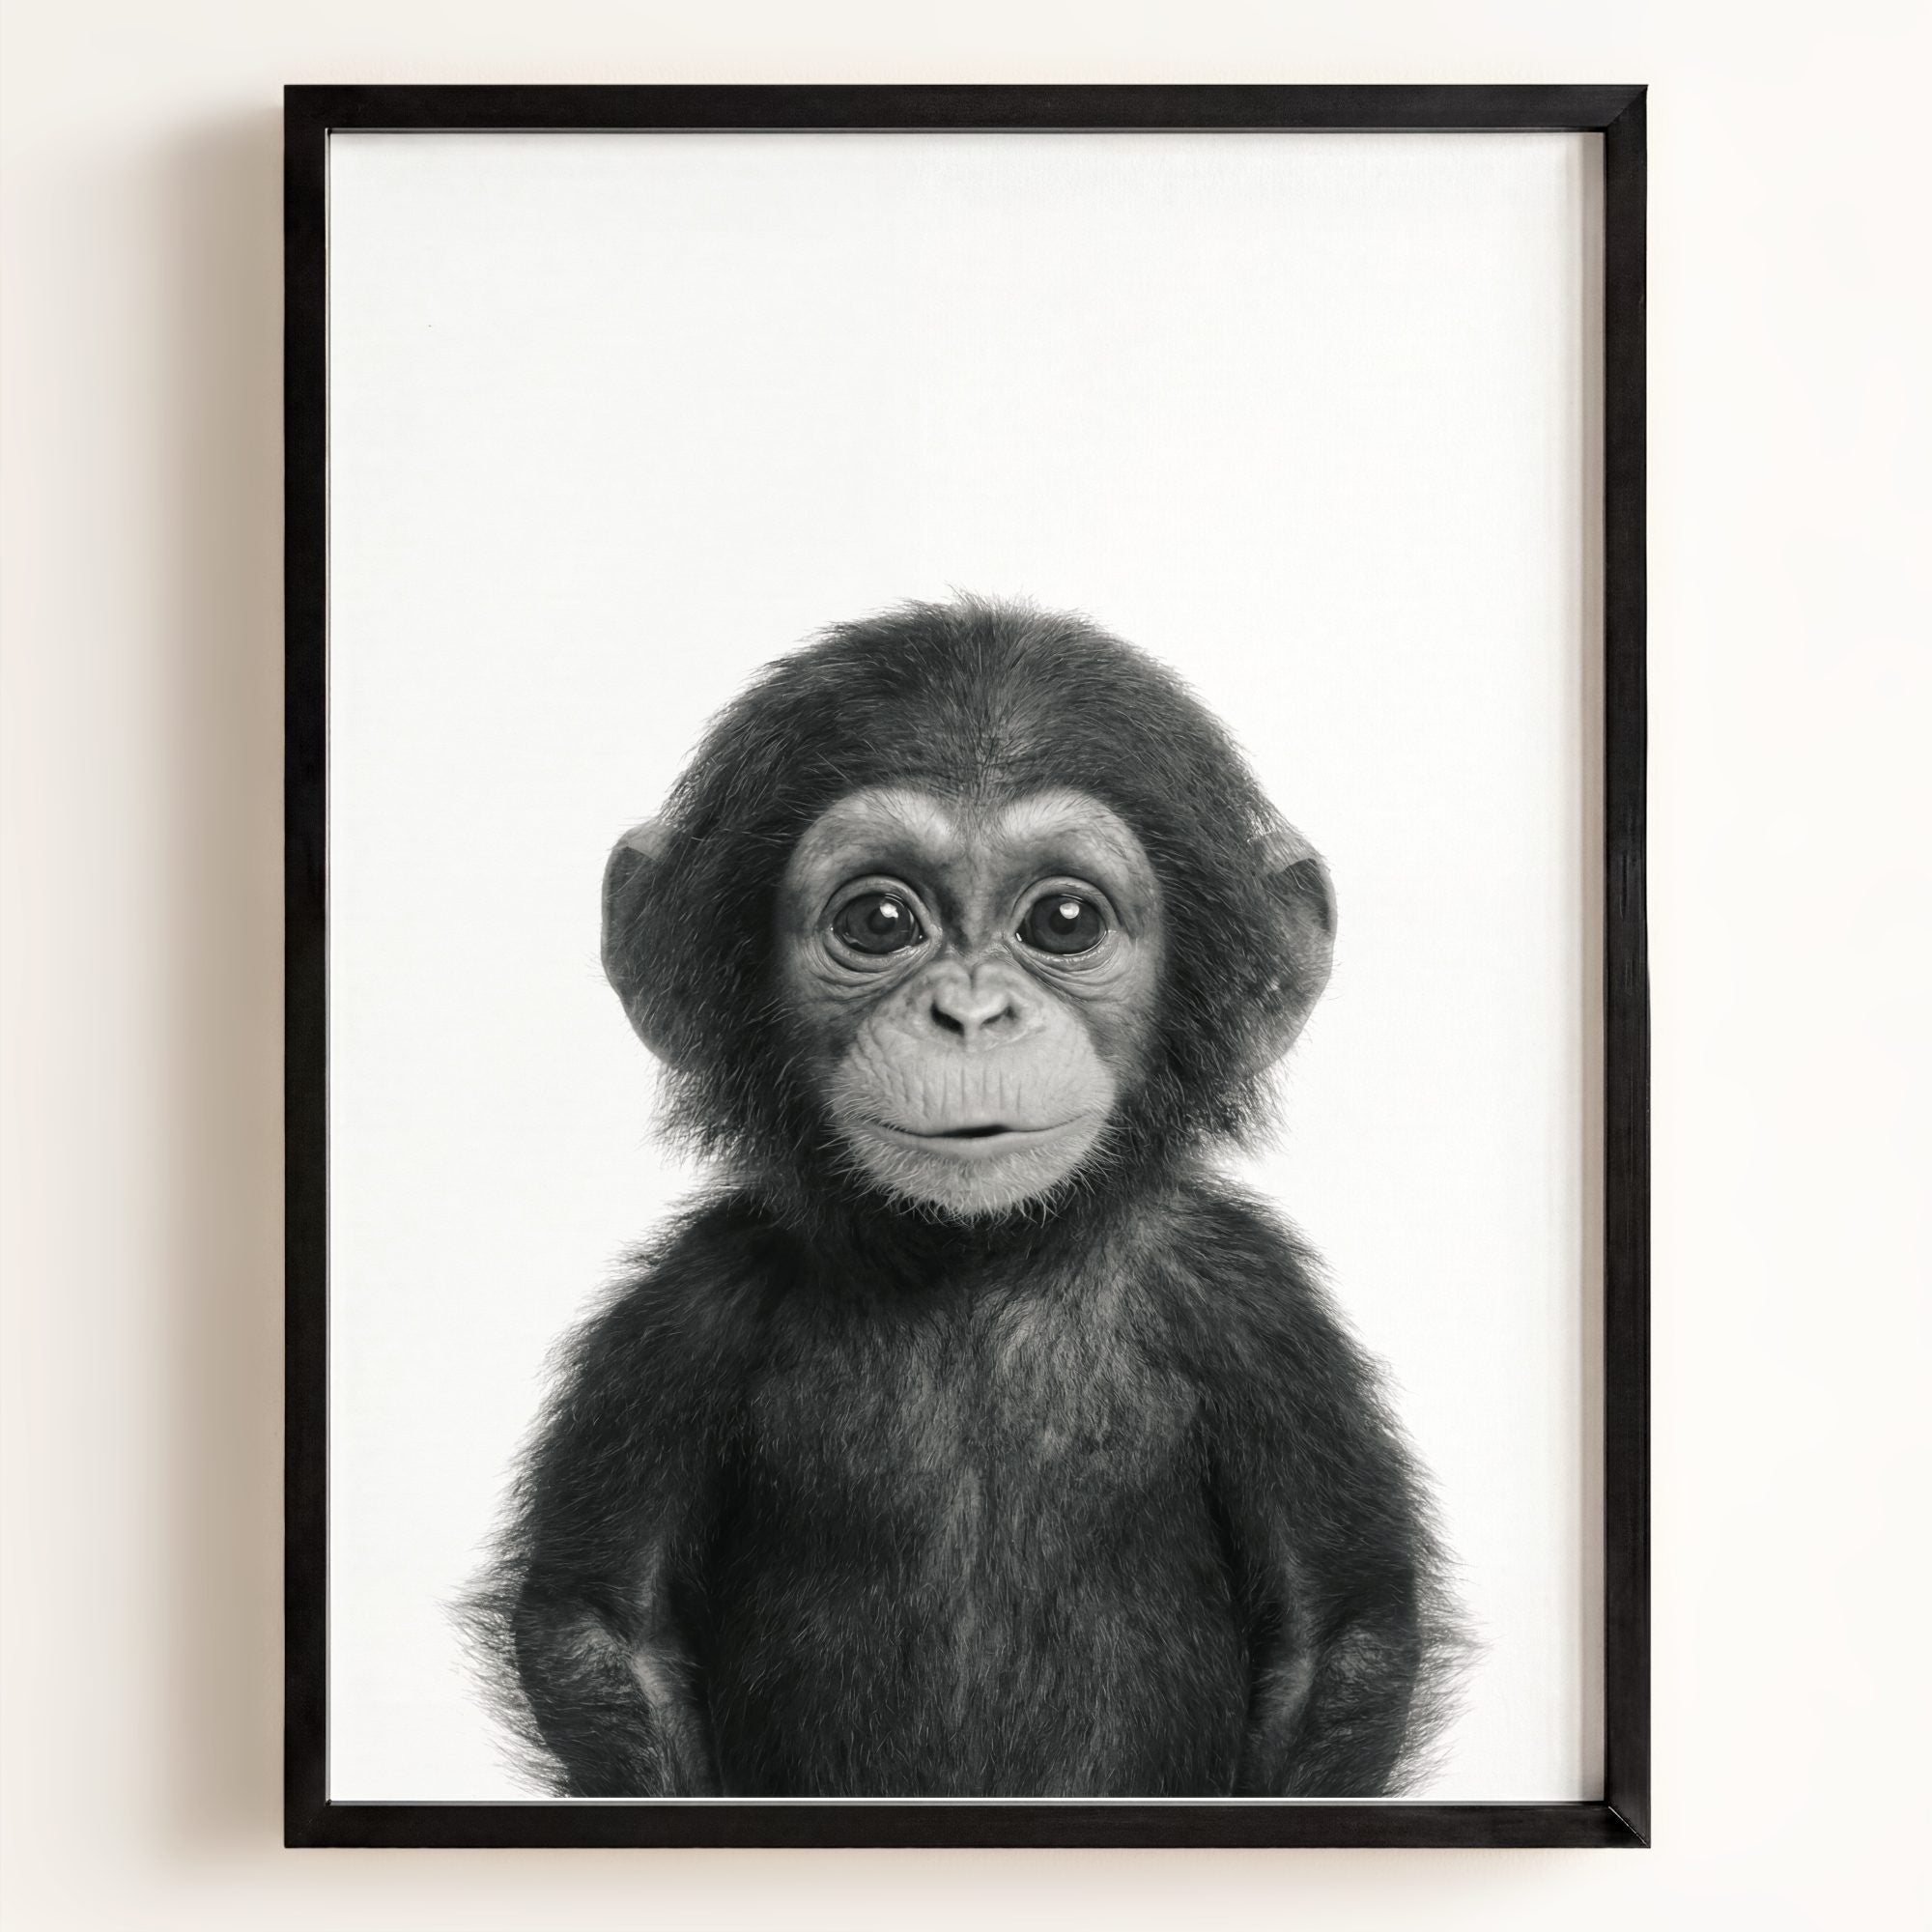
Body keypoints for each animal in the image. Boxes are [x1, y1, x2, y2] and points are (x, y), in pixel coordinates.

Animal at [463, 596, 1463, 1798]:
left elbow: (1337, 1633)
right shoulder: (686, 1311)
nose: (972, 1014)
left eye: (1064, 919)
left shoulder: (1255, 1308)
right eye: (879, 921)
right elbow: (606, 1628)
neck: (974, 1257)